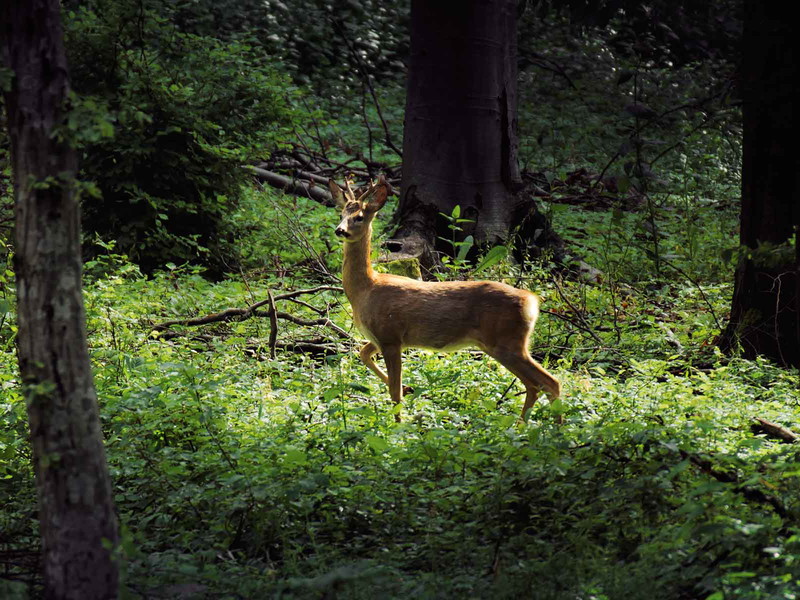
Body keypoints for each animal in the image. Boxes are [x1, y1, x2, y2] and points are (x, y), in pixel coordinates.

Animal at [330, 174, 562, 422]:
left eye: (359, 217)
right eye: (341, 214)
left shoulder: (390, 336)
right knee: (535, 385)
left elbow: (393, 391)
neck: (366, 289)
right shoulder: (378, 338)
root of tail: (531, 301)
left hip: (507, 342)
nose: (339, 230)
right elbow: (363, 354)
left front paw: (399, 423)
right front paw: (408, 389)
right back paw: (523, 426)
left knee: (549, 382)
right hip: (505, 344)